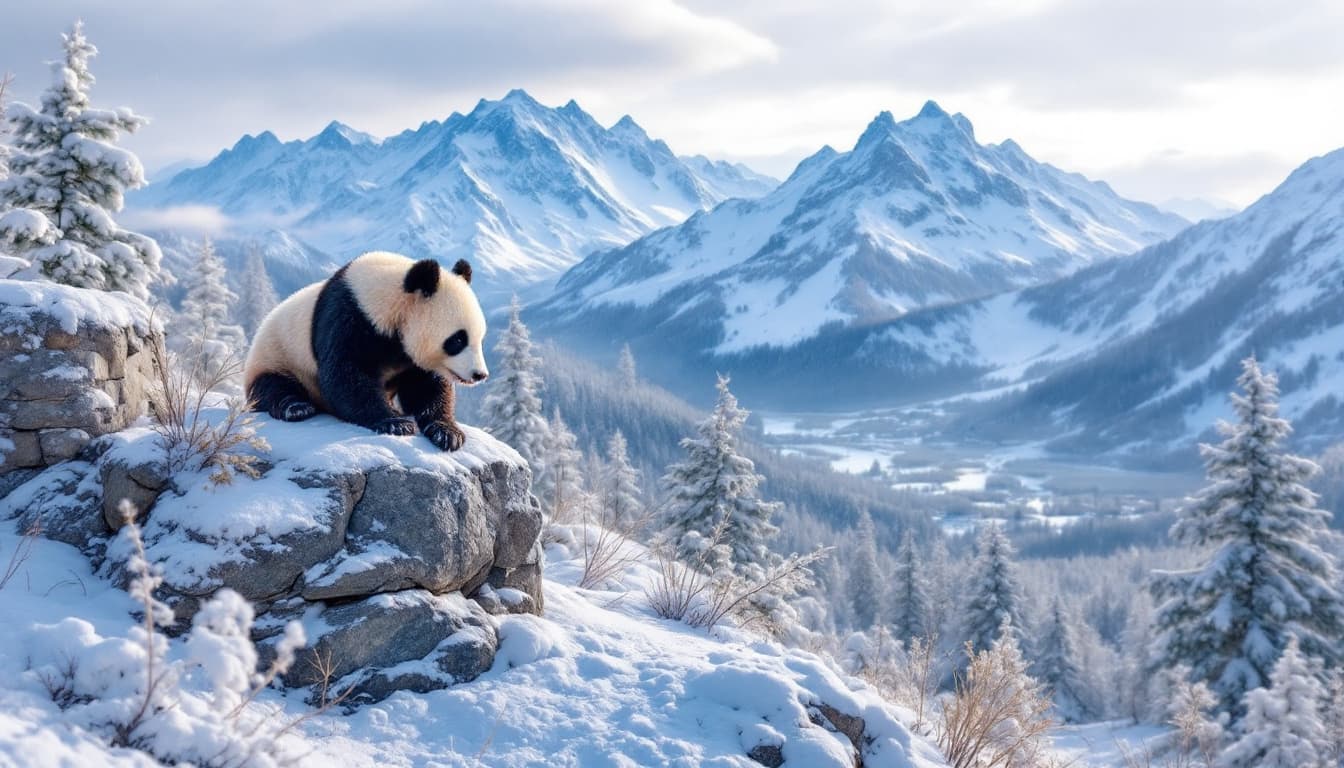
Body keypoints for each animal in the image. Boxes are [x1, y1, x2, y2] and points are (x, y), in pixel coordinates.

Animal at [244, 251, 489, 451]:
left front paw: (448, 433)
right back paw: (296, 407)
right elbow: (345, 376)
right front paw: (395, 423)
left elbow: (426, 388)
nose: (480, 375)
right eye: (458, 339)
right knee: (273, 386)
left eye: (480, 337)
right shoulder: (348, 317)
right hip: (276, 355)